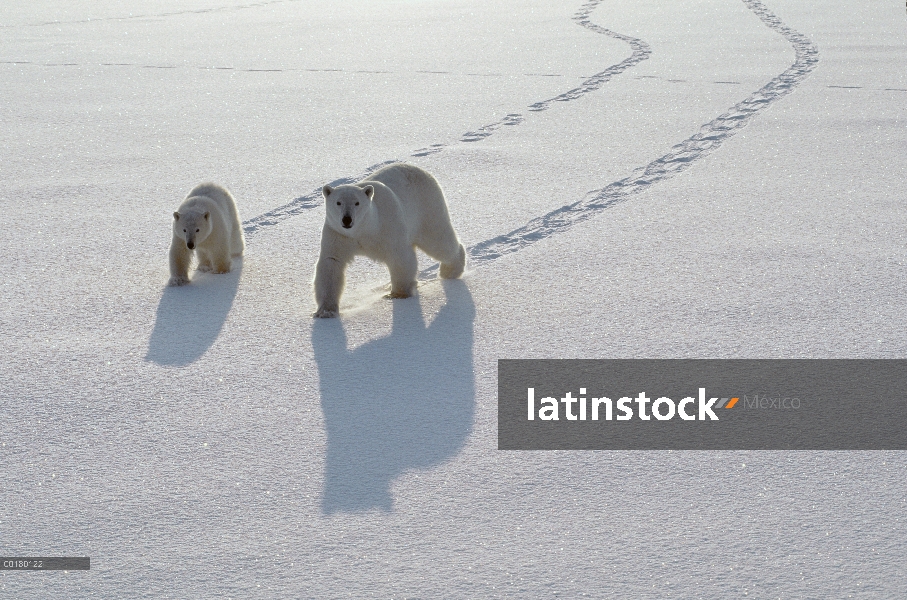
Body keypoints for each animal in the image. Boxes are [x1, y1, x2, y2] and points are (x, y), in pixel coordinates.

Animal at [314, 162, 468, 316]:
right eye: (338, 202)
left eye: (357, 203)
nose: (347, 219)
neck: (365, 229)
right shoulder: (338, 234)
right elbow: (331, 264)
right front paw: (326, 311)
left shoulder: (388, 227)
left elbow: (400, 257)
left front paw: (398, 294)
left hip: (427, 208)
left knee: (438, 241)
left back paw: (450, 271)